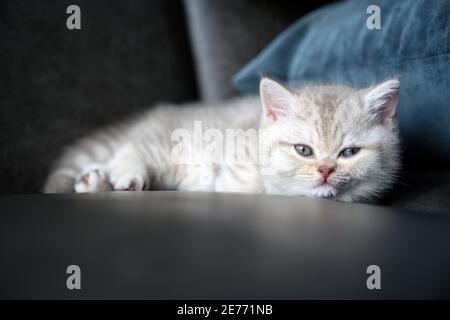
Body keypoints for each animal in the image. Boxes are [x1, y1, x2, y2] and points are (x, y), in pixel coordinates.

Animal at [43, 77, 400, 201]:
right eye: (303, 150)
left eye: (349, 152)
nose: (325, 171)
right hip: (170, 145)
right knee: (131, 149)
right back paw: (117, 176)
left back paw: (93, 180)